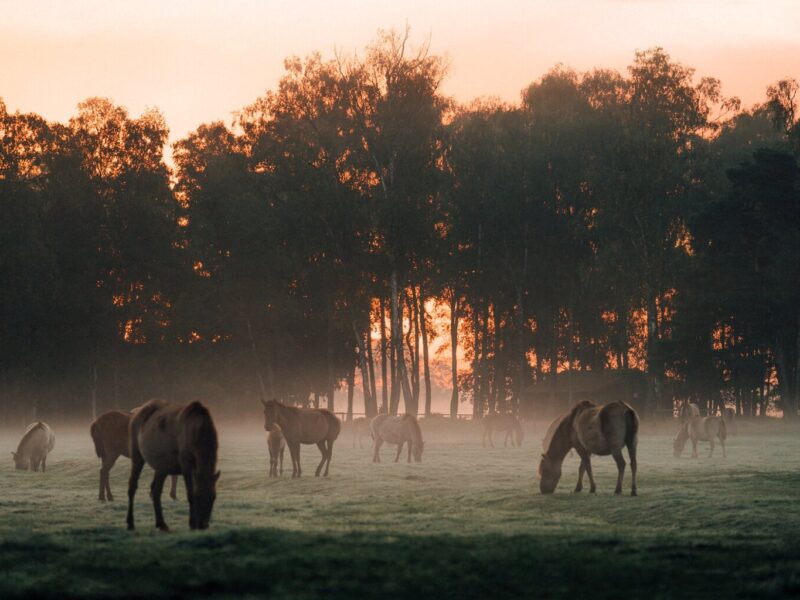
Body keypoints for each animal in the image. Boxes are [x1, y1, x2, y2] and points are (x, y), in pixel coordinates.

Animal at [126, 400, 219, 531]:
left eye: (213, 497)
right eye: (197, 496)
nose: (203, 524)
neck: (197, 431)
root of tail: (136, 413)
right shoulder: (186, 465)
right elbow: (189, 493)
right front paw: (192, 523)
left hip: (162, 467)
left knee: (155, 490)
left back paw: (161, 523)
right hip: (137, 457)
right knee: (132, 487)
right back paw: (130, 523)